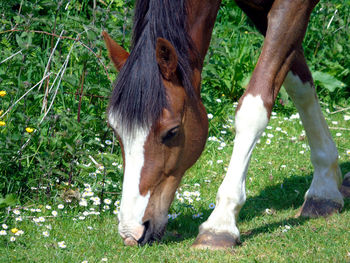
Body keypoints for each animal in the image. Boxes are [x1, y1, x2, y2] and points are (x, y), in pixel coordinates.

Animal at [102, 0, 348, 251]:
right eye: (116, 130)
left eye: (172, 132)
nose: (132, 232)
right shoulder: (259, 10)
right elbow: (300, 85)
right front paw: (325, 189)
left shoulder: (293, 6)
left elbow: (253, 109)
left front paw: (220, 224)